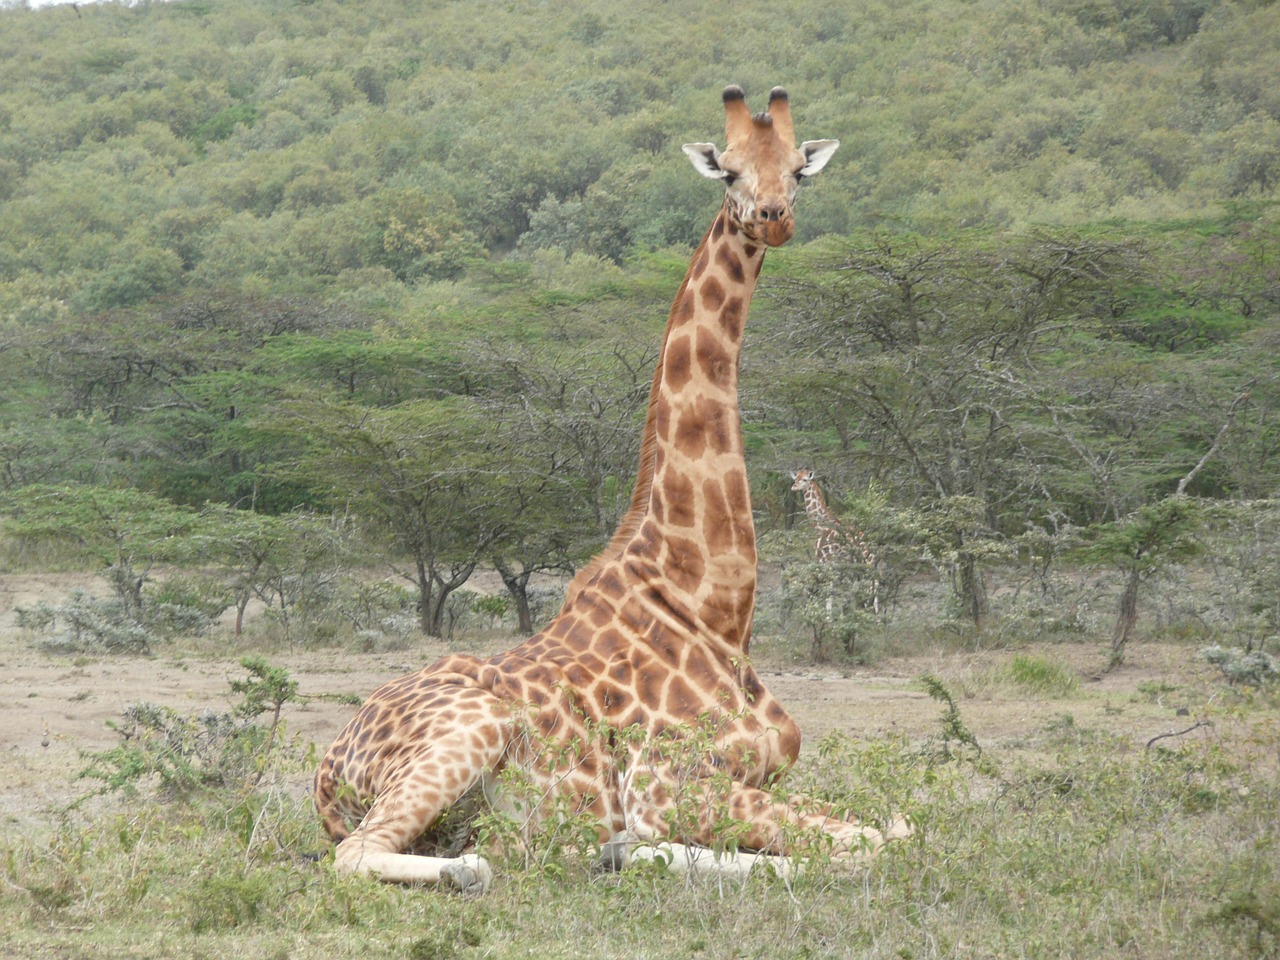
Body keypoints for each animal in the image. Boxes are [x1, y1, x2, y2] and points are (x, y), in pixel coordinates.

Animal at [788, 468, 880, 616]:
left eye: (805, 479)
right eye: (795, 478)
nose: (793, 487)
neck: (820, 526)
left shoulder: (825, 559)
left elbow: (828, 590)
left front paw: (828, 618)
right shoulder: (833, 563)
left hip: (868, 562)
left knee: (872, 586)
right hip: (867, 563)